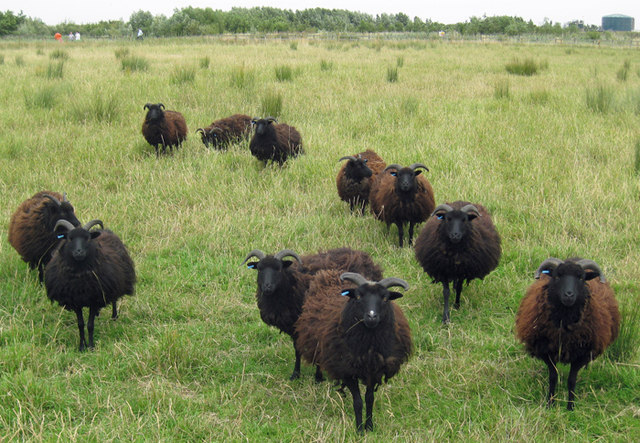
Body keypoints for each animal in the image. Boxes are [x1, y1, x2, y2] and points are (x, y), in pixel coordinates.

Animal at [44, 220, 137, 352]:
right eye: (69, 238)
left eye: (87, 238)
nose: (79, 252)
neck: (79, 278)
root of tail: (103, 231)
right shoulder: (75, 301)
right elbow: (81, 324)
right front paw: (82, 346)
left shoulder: (95, 299)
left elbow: (90, 325)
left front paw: (91, 346)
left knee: (114, 299)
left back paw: (114, 316)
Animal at [242, 246, 382, 382]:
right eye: (259, 269)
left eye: (279, 268)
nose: (267, 287)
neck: (293, 285)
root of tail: (364, 256)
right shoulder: (295, 327)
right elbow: (297, 350)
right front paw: (296, 374)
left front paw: (318, 377)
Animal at [294, 270, 410, 434]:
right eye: (359, 296)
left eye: (385, 298)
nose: (371, 316)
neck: (368, 346)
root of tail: (330, 273)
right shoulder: (347, 371)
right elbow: (358, 401)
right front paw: (359, 429)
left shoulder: (375, 371)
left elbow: (369, 399)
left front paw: (369, 427)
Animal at [516, 258, 620, 412]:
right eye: (557, 276)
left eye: (581, 278)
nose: (569, 295)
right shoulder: (547, 351)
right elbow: (553, 377)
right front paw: (550, 403)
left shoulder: (580, 354)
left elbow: (572, 380)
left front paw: (570, 406)